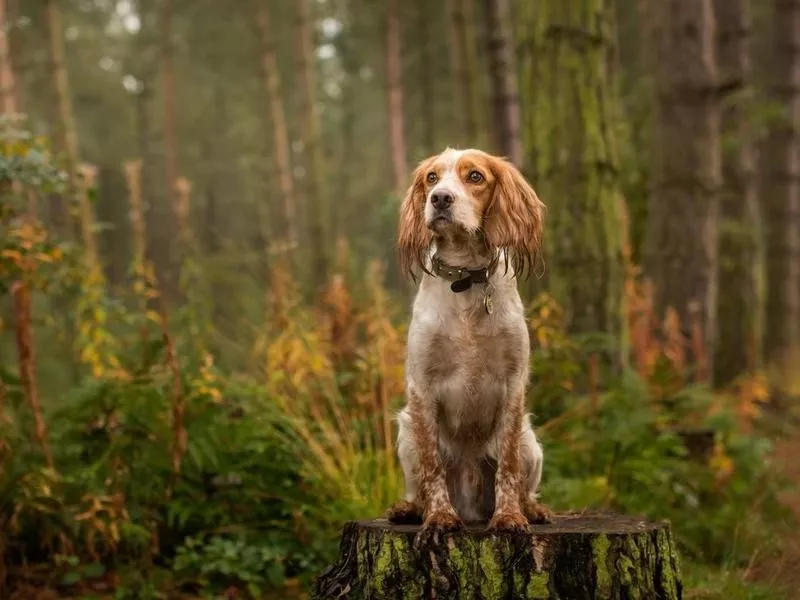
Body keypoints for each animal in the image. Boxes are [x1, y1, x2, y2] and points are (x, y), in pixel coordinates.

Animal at [386, 148, 552, 540]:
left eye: (475, 176)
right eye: (431, 178)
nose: (439, 199)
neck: (465, 280)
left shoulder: (513, 383)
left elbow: (508, 464)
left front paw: (509, 517)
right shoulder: (421, 386)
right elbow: (433, 468)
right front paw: (439, 517)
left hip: (531, 442)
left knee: (525, 484)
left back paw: (532, 509)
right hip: (406, 432)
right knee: (419, 486)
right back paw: (410, 509)